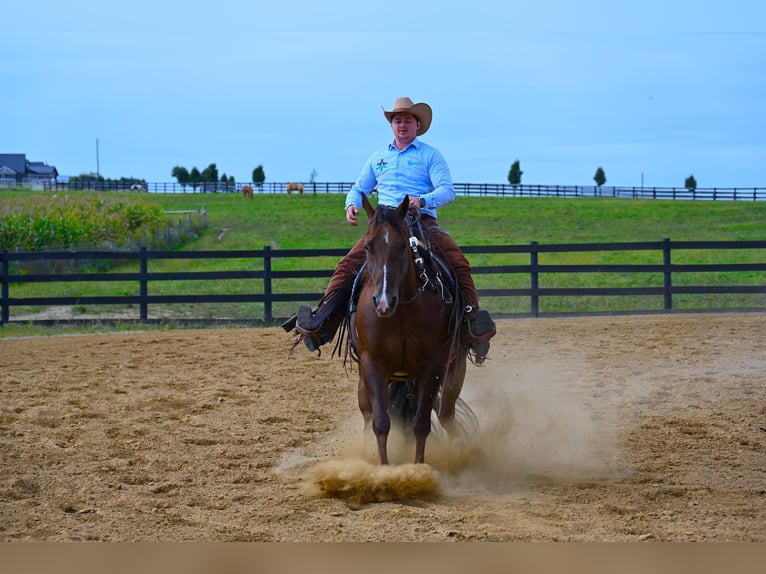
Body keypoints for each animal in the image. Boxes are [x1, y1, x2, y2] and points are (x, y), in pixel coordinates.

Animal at [352, 196, 472, 466]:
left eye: (401, 246)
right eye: (367, 247)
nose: (383, 302)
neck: (402, 312)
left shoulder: (435, 365)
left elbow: (421, 424)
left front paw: (418, 468)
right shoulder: (373, 362)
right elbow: (381, 422)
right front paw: (383, 468)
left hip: (454, 368)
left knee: (445, 412)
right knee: (367, 415)